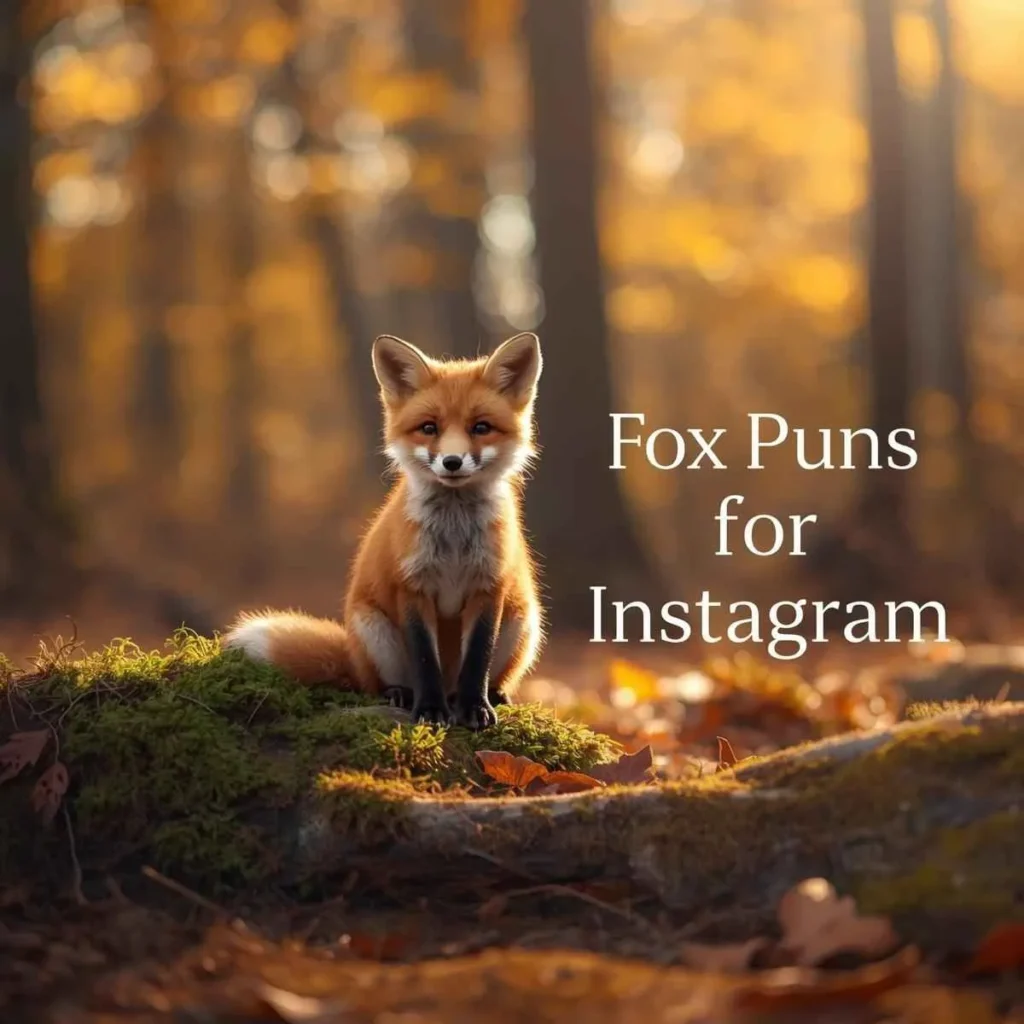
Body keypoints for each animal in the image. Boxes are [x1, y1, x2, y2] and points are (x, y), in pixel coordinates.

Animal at [222, 331, 545, 731]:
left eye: (481, 427)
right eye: (429, 427)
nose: (452, 462)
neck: (454, 539)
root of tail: (352, 655)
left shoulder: (489, 588)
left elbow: (477, 659)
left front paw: (474, 707)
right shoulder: (410, 586)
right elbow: (424, 660)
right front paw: (430, 710)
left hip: (523, 621)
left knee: (478, 676)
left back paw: (488, 696)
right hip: (374, 630)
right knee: (377, 684)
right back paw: (401, 695)